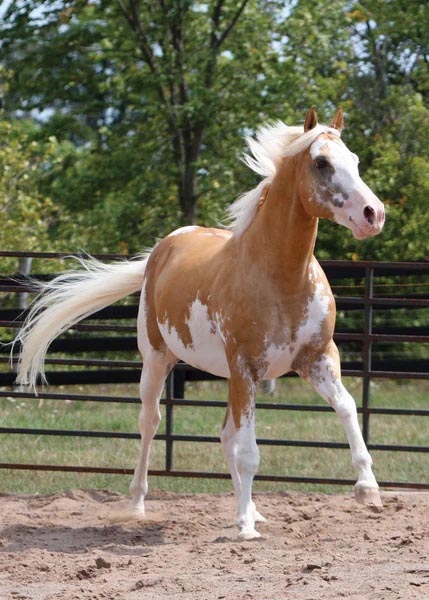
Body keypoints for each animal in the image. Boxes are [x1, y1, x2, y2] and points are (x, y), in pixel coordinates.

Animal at [15, 106, 384, 540]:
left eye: (355, 160)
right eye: (321, 162)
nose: (373, 214)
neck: (281, 277)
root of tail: (164, 247)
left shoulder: (317, 359)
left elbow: (346, 408)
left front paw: (367, 489)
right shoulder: (245, 368)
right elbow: (249, 451)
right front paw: (246, 530)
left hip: (231, 377)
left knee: (225, 436)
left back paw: (250, 509)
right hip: (157, 360)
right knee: (151, 423)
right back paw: (138, 505)